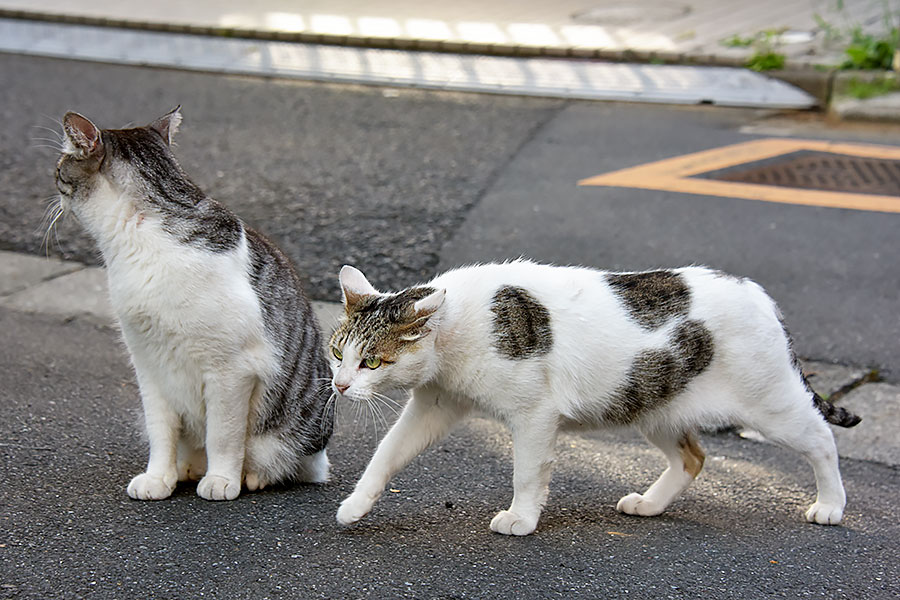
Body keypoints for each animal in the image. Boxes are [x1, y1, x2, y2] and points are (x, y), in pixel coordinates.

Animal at [54, 108, 334, 502]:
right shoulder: (148, 365)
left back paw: (252, 476)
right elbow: (161, 432)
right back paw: (187, 468)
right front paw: (159, 477)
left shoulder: (232, 371)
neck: (142, 236)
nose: (54, 181)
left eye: (59, 167)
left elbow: (223, 436)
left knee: (283, 461)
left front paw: (222, 480)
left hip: (291, 434)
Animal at [328, 260, 856, 536]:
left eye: (372, 362)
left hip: (771, 405)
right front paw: (356, 505)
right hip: (653, 405)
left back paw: (830, 505)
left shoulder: (534, 415)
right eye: (337, 353)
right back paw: (650, 504)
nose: (340, 386)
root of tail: (758, 294)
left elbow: (527, 473)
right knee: (692, 458)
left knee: (821, 439)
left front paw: (521, 518)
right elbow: (387, 454)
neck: (459, 330)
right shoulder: (435, 404)